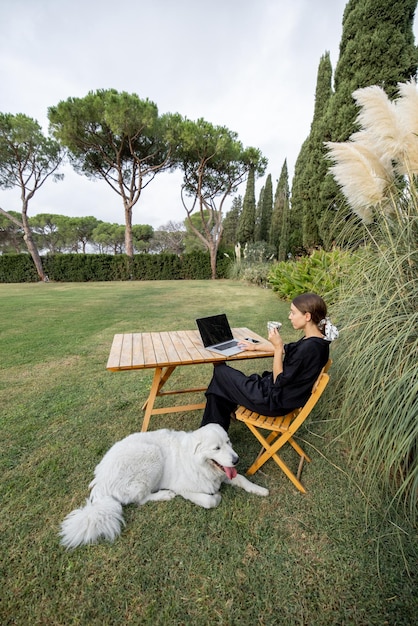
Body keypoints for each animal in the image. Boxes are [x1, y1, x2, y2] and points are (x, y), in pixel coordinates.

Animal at [59, 422, 268, 548]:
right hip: (151, 454)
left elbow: (242, 479)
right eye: (216, 448)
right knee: (141, 498)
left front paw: (260, 490)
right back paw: (164, 495)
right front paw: (216, 496)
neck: (198, 463)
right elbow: (209, 501)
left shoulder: (224, 474)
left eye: (228, 442)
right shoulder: (184, 488)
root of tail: (100, 483)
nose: (236, 460)